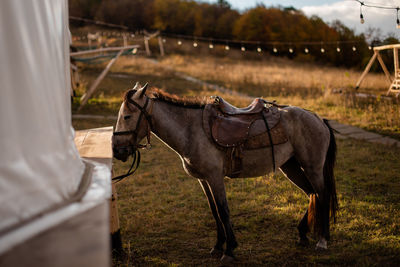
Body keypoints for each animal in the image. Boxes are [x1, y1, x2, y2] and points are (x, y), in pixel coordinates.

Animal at [111, 84, 338, 266]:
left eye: (127, 116)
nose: (117, 151)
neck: (191, 130)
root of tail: (319, 119)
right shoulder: (203, 180)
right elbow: (214, 211)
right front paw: (218, 245)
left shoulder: (215, 178)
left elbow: (223, 210)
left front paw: (229, 250)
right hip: (291, 167)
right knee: (312, 194)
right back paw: (302, 234)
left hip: (312, 168)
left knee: (323, 195)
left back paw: (323, 240)